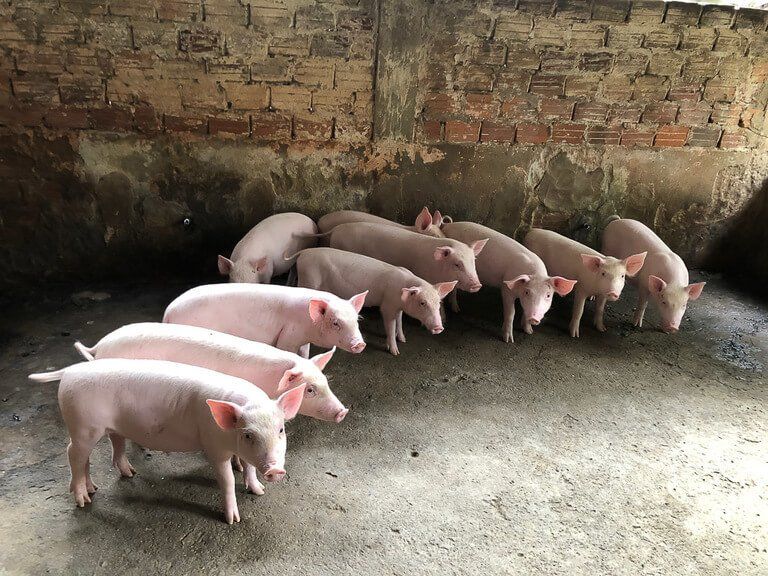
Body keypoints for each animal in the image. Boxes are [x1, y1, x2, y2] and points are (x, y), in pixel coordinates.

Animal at [30, 362, 306, 524]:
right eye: (248, 434)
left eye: (281, 429)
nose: (275, 470)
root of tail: (69, 371)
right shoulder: (213, 446)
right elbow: (226, 480)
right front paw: (233, 520)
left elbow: (249, 468)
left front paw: (258, 491)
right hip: (83, 426)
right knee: (73, 454)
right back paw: (83, 500)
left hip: (99, 428)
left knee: (91, 456)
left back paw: (112, 481)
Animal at [164, 282, 368, 356]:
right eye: (336, 323)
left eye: (357, 320)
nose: (360, 344)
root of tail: (167, 313)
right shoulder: (289, 335)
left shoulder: (303, 340)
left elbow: (305, 353)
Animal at [292, 248, 452, 356]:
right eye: (422, 303)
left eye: (438, 303)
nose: (439, 328)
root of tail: (304, 253)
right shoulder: (387, 306)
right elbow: (390, 325)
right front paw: (395, 352)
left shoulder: (397, 307)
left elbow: (399, 321)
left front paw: (403, 339)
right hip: (308, 279)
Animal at [440, 223, 572, 342]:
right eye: (527, 292)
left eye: (548, 295)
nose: (534, 318)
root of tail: (447, 225)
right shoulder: (506, 289)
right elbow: (511, 313)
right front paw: (508, 340)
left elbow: (524, 310)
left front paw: (529, 331)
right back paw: (456, 310)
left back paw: (456, 309)